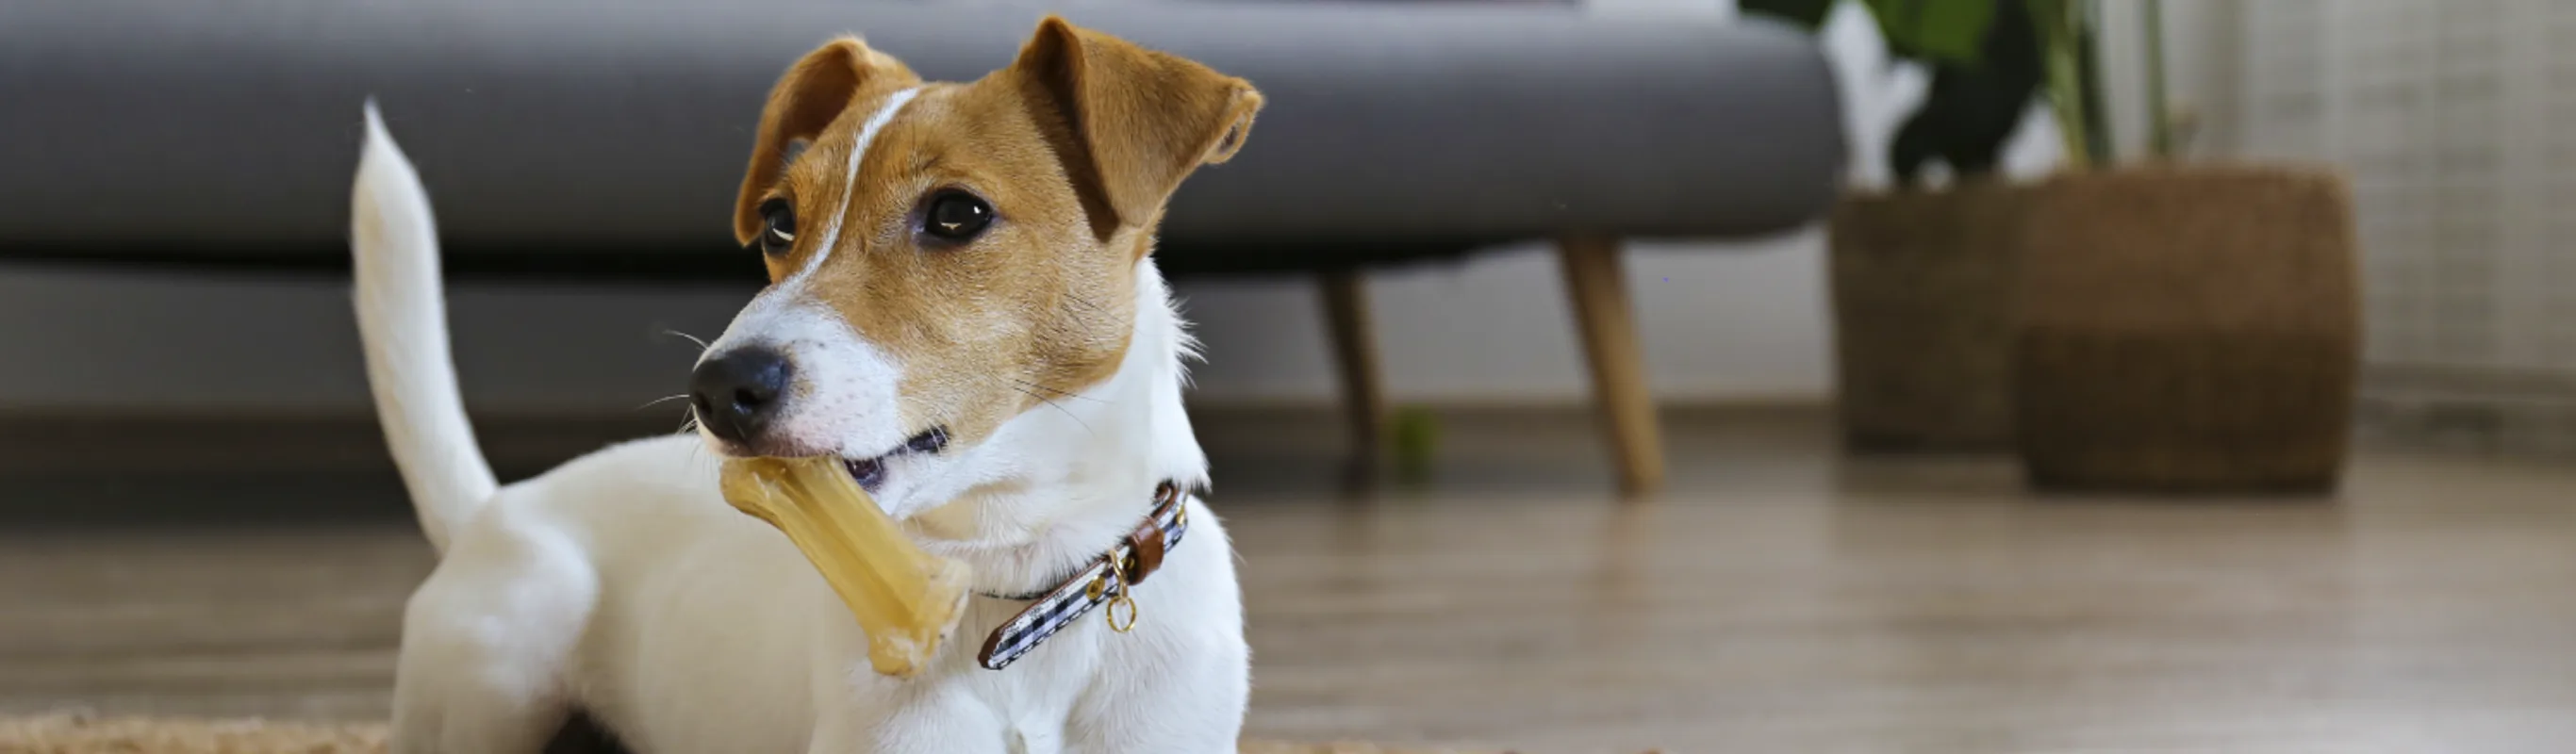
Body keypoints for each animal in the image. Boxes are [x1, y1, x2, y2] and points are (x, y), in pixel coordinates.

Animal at [347, 16, 1262, 746]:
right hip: (507, 668)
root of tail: (491, 508)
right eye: (780, 221)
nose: (717, 389)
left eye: (957, 213)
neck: (1013, 587)